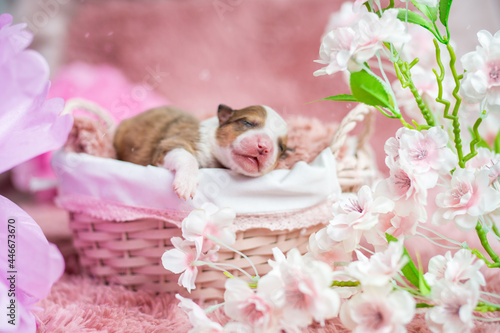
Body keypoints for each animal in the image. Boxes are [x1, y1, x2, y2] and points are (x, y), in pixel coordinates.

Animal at [112, 104, 288, 198]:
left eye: (281, 147)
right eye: (247, 123)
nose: (264, 147)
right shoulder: (174, 142)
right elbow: (187, 156)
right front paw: (186, 183)